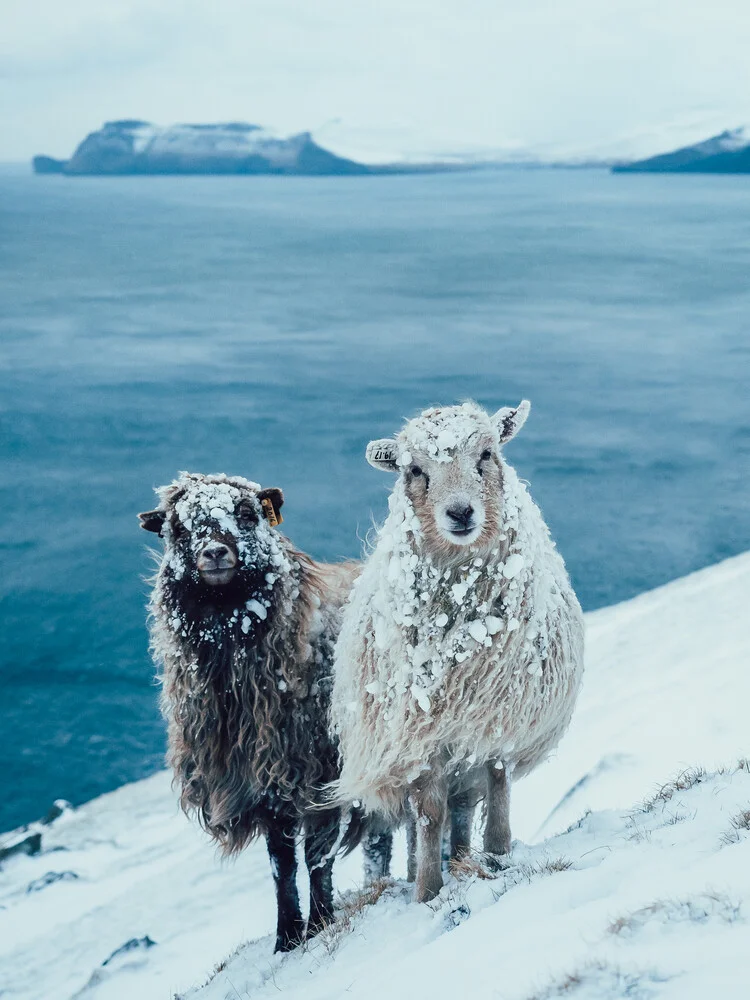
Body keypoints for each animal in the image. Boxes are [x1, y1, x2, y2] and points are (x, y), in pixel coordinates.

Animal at [334, 402, 588, 904]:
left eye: (487, 454)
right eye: (414, 469)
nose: (460, 511)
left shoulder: (499, 712)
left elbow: (498, 782)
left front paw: (498, 851)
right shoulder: (419, 732)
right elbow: (428, 813)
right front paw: (427, 891)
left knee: (466, 804)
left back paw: (468, 856)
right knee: (427, 817)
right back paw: (424, 868)